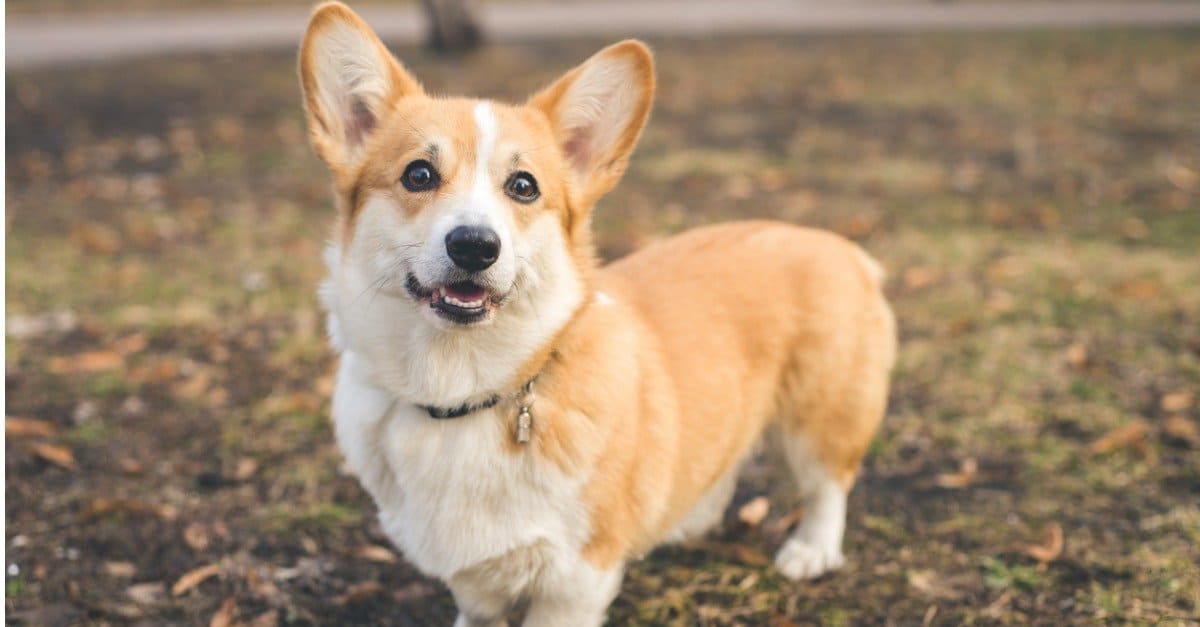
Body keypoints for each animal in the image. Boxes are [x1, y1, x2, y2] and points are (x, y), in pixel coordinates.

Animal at [304, 2, 897, 619]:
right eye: (418, 174)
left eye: (523, 186)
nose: (474, 245)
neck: (460, 392)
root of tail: (838, 243)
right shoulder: (472, 581)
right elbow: (479, 608)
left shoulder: (574, 582)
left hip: (821, 415)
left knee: (828, 482)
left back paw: (811, 550)